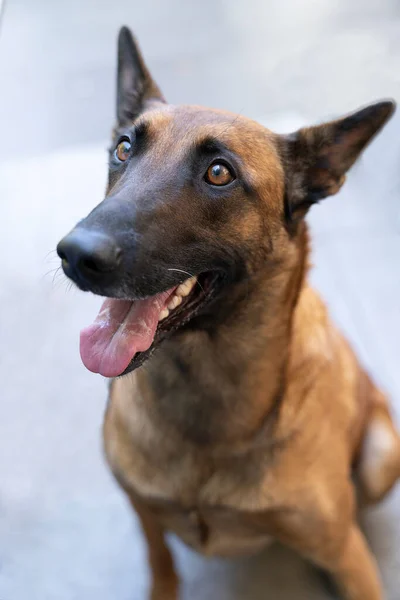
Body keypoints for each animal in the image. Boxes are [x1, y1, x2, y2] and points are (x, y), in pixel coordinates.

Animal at [57, 25, 400, 596]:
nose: (76, 254)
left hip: (380, 459)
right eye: (124, 148)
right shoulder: (143, 511)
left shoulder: (345, 551)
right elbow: (161, 561)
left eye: (219, 173)